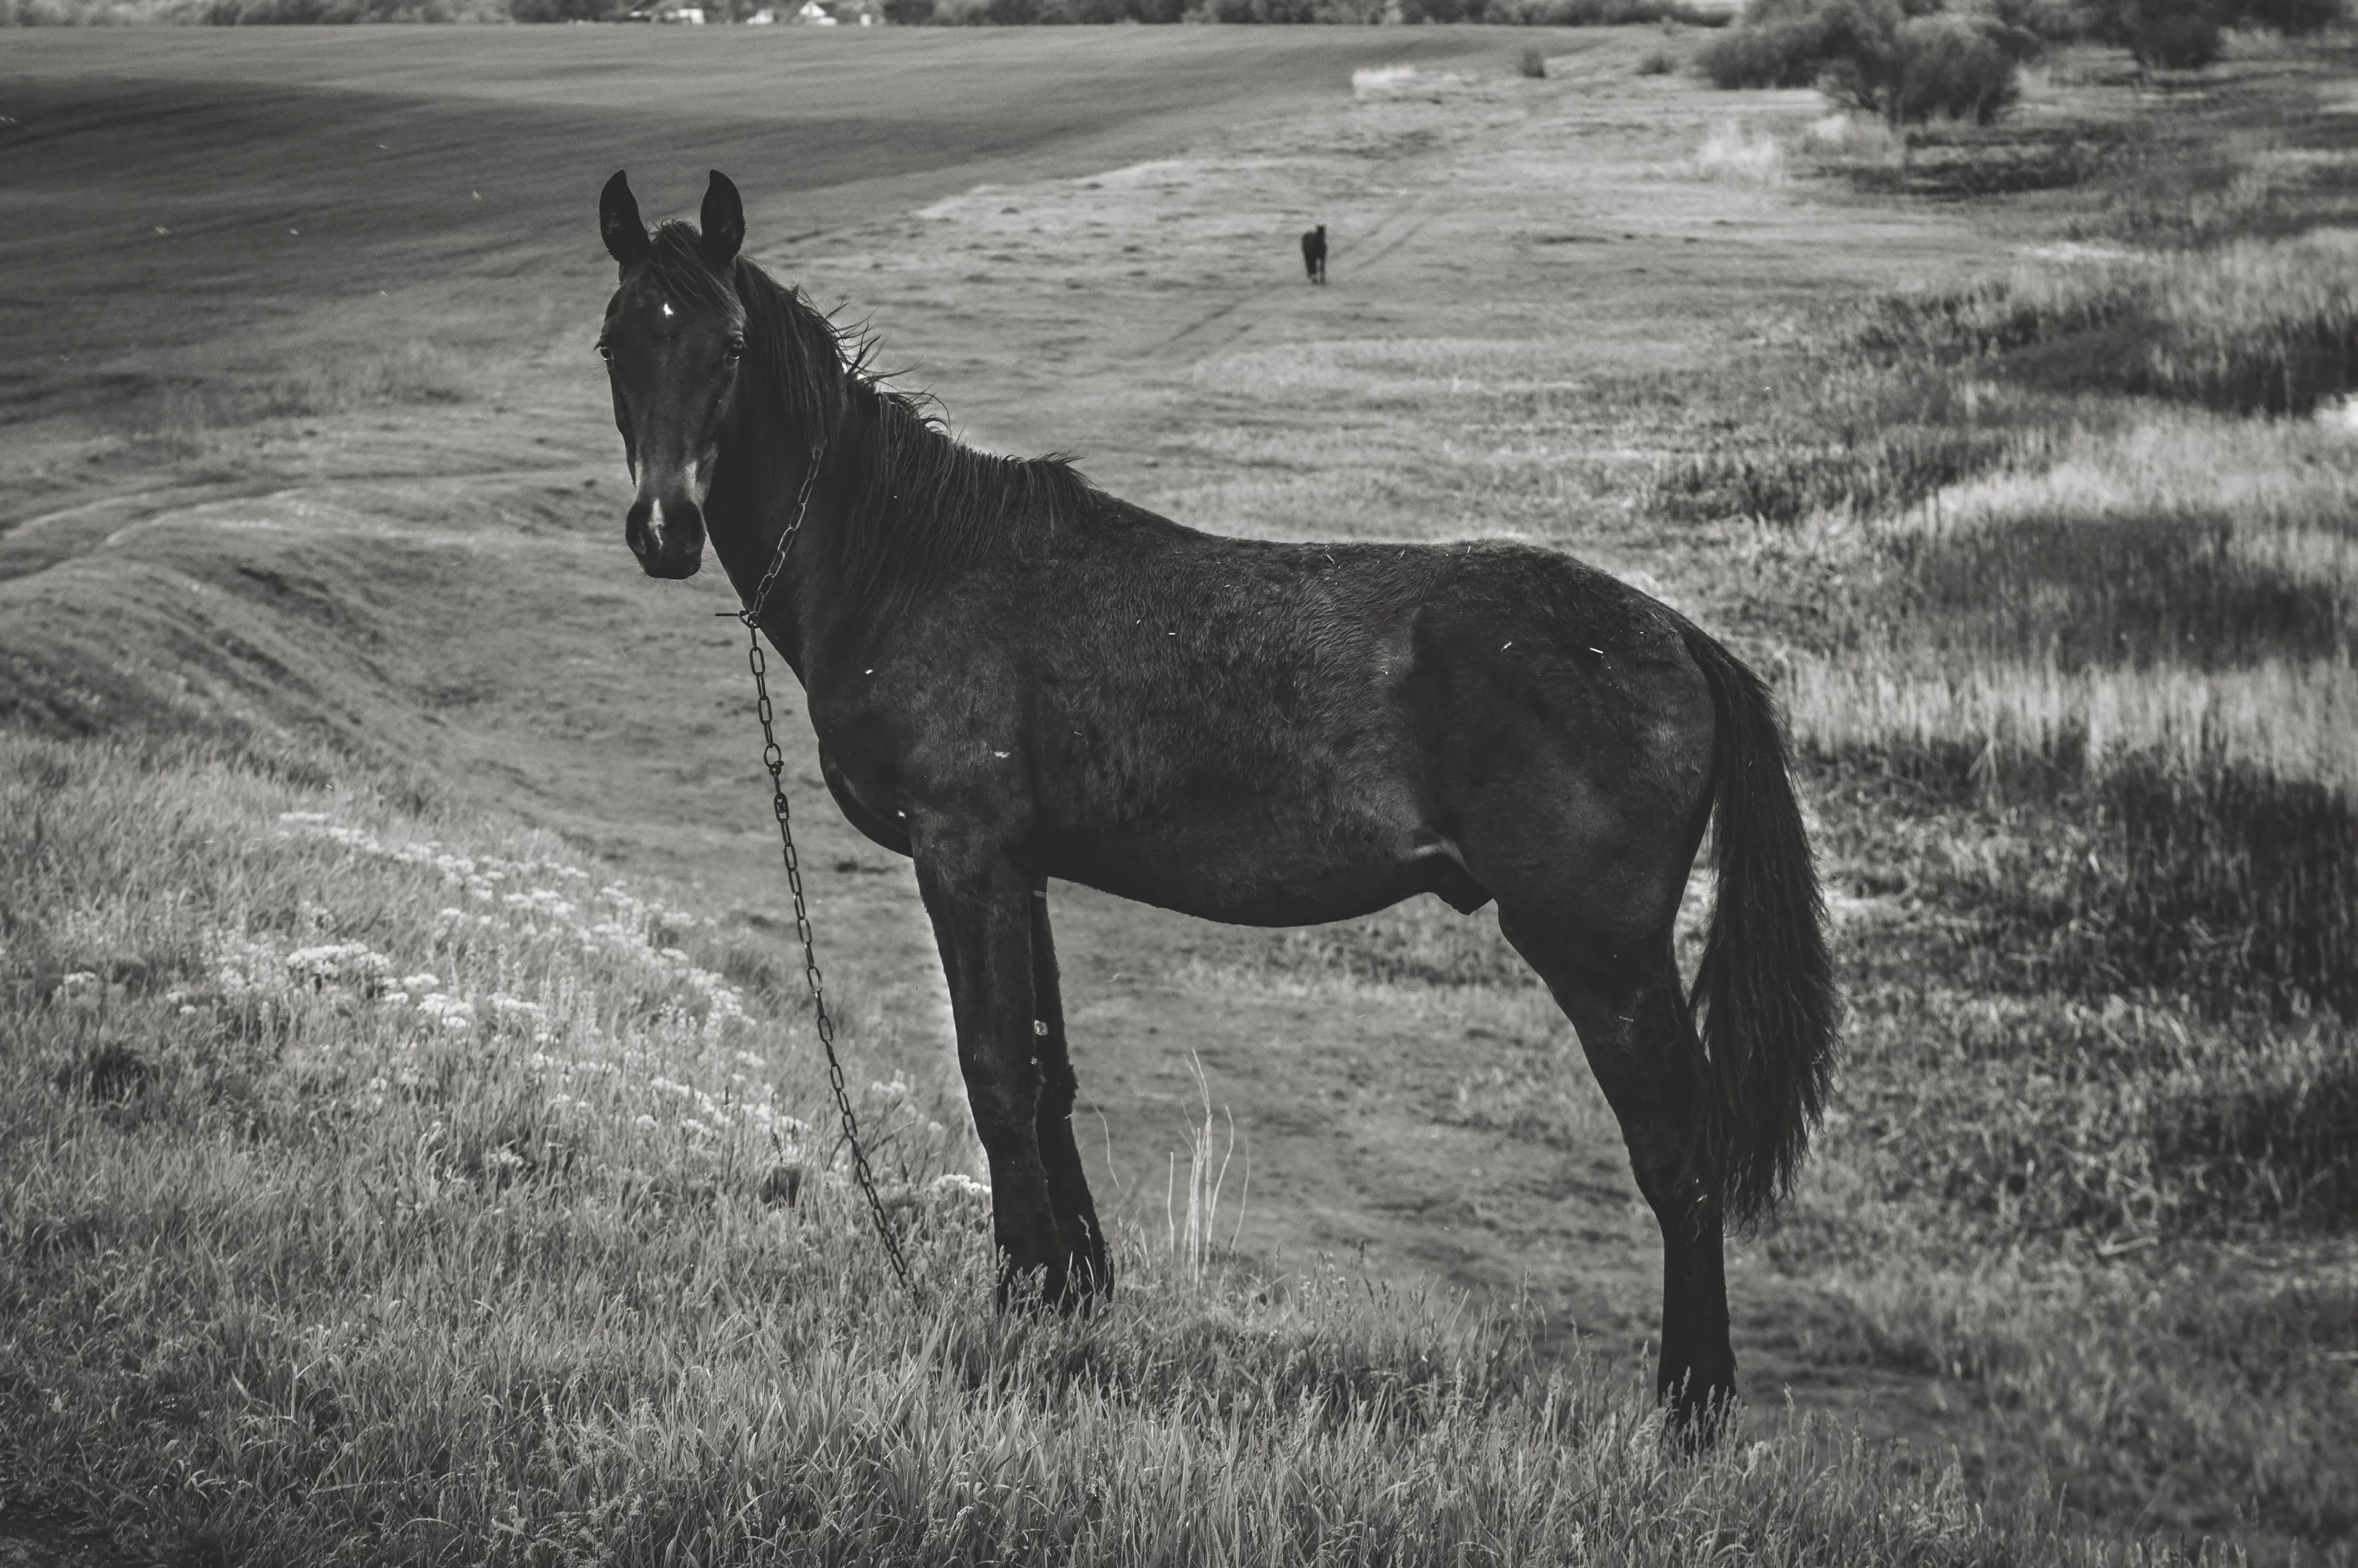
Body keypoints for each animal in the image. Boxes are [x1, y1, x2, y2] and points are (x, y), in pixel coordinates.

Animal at [594, 170, 1836, 1436]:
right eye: (616, 344)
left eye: (730, 347)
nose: (664, 530)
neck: (910, 566)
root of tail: (1673, 634)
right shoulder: (1022, 867)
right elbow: (1045, 1070)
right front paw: (1073, 1292)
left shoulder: (962, 853)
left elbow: (993, 1073)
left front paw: (1019, 1296)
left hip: (1604, 957)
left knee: (1678, 1161)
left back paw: (1691, 1412)